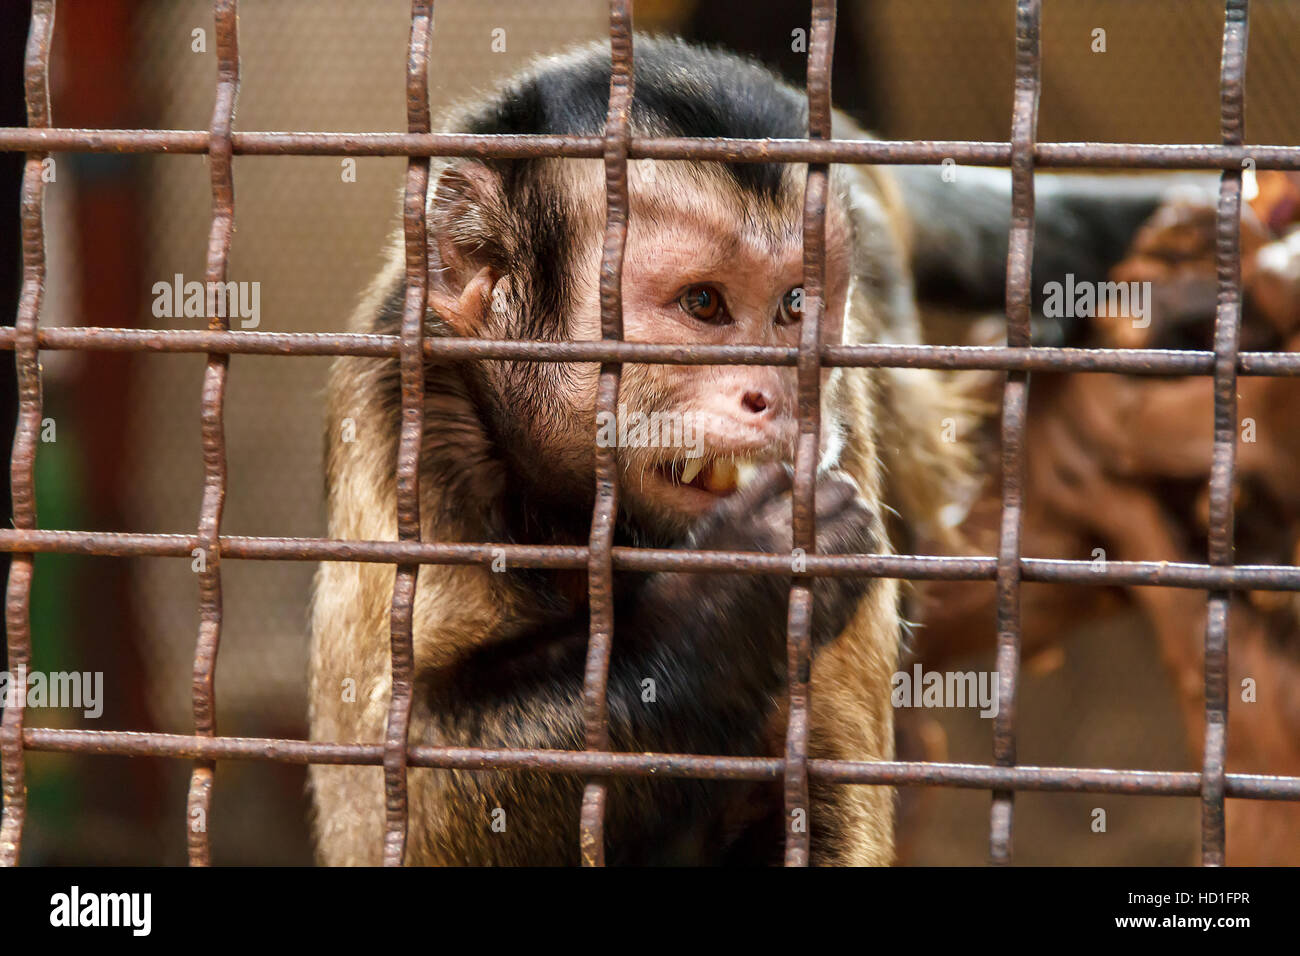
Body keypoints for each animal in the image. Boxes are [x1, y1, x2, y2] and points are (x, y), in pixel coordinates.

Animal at [309, 35, 1185, 868]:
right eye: (703, 304)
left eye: (797, 304)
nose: (781, 394)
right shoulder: (408, 411)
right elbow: (391, 795)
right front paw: (731, 599)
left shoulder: (841, 422)